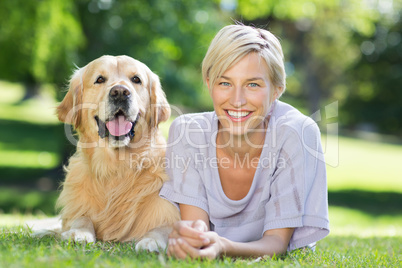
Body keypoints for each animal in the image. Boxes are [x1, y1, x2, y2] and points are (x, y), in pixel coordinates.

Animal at [53, 55, 179, 251]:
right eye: (99, 79)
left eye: (136, 79)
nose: (120, 92)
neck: (116, 167)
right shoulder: (75, 211)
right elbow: (81, 217)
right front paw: (79, 233)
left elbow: (164, 227)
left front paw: (152, 241)